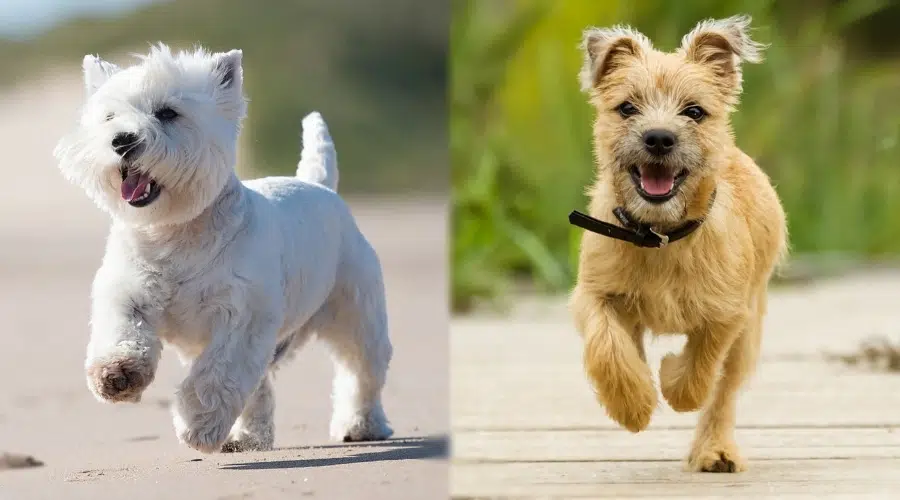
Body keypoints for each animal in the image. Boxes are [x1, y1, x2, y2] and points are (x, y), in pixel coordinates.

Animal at [54, 44, 392, 454]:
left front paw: (199, 424)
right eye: (109, 116)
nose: (122, 140)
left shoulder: (241, 317)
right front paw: (118, 373)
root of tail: (320, 184)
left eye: (168, 112)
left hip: (356, 311)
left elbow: (216, 376)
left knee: (361, 371)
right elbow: (121, 331)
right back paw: (248, 437)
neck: (173, 233)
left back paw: (360, 425)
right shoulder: (127, 293)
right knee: (262, 386)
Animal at [568, 15, 788, 474]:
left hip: (749, 332)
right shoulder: (594, 295)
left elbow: (701, 371)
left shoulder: (728, 314)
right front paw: (632, 405)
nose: (658, 138)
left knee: (723, 392)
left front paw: (672, 380)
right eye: (627, 108)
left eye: (694, 112)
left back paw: (715, 450)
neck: (659, 237)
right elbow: (608, 349)